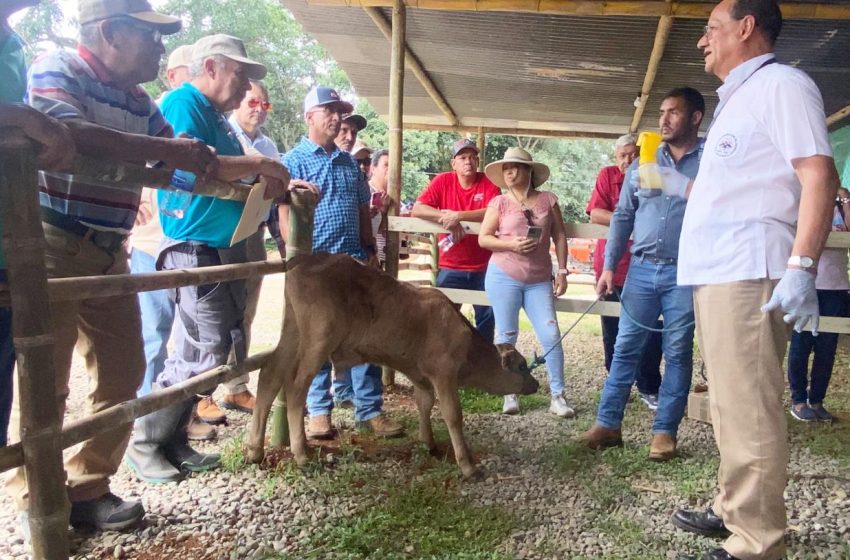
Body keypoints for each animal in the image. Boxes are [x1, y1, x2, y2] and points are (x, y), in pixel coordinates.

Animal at [245, 254, 536, 476]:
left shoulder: (420, 375)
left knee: (270, 374)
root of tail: (305, 259)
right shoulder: (444, 374)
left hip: (292, 330)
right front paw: (468, 466)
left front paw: (429, 444)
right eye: (522, 366)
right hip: (318, 339)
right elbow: (453, 414)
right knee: (296, 388)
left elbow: (424, 403)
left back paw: (255, 450)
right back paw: (301, 453)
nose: (534, 384)